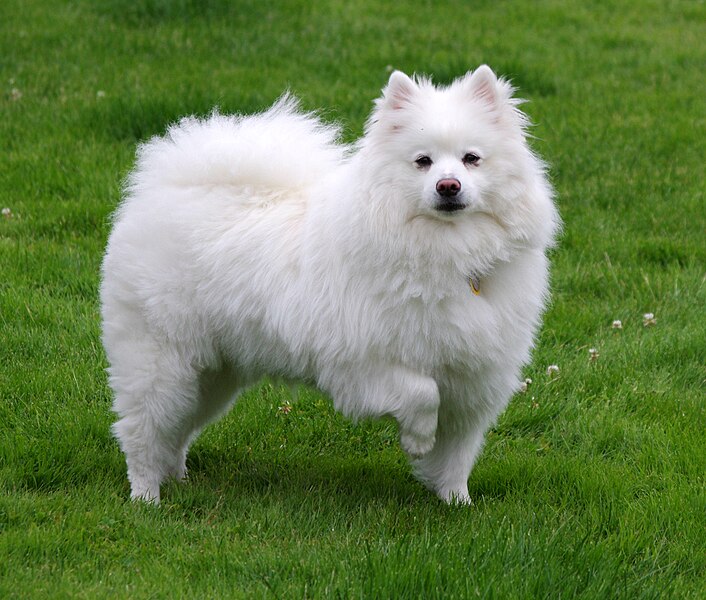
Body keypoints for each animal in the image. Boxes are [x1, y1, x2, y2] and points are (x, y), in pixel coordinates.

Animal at [102, 65, 560, 504]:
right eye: (423, 162)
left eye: (471, 159)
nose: (449, 186)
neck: (448, 251)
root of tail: (160, 191)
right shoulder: (363, 362)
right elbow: (422, 394)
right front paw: (417, 440)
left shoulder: (472, 380)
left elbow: (457, 453)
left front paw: (456, 502)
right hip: (161, 362)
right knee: (142, 432)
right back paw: (147, 496)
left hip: (213, 374)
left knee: (178, 430)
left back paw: (177, 477)